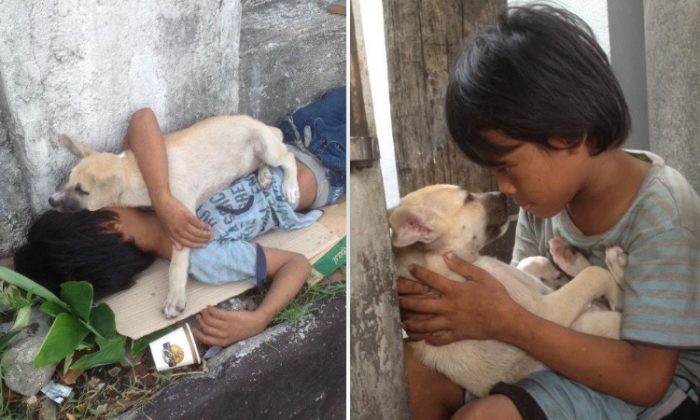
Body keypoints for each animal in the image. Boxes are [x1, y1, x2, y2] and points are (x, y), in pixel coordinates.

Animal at [48, 115, 300, 318]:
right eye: (69, 180)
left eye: (82, 190)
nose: (50, 200)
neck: (136, 173)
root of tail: (263, 124)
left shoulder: (182, 217)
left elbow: (177, 265)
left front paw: (175, 298)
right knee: (262, 163)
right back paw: (264, 175)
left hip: (266, 146)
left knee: (288, 157)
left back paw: (290, 186)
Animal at [392, 185, 628, 398]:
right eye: (468, 198)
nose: (503, 194)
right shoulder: (546, 313)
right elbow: (595, 275)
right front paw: (614, 291)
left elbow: (530, 261)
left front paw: (551, 271)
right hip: (595, 324)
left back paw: (568, 256)